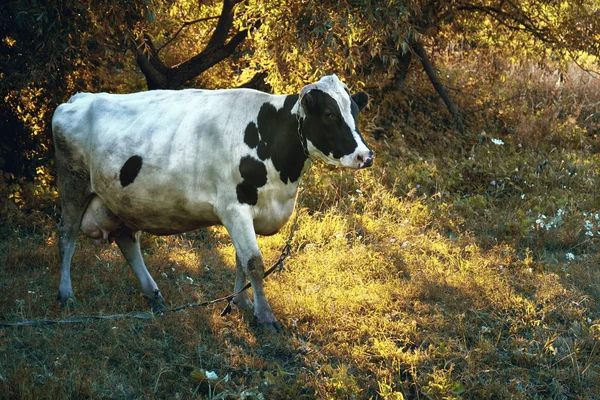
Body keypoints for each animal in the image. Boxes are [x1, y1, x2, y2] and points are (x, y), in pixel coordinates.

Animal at [52, 74, 370, 328]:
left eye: (355, 111)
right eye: (329, 114)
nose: (365, 156)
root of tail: (79, 98)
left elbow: (241, 260)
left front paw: (242, 303)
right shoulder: (234, 208)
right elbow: (254, 262)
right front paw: (265, 316)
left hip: (121, 201)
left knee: (127, 242)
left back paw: (153, 295)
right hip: (73, 183)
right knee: (67, 237)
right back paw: (66, 294)